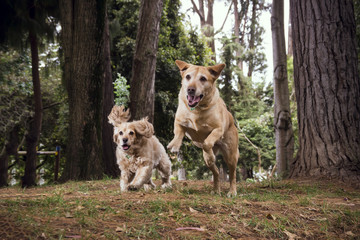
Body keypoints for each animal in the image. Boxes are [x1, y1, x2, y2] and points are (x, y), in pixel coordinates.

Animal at [168, 60, 240, 197]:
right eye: (188, 76)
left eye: (203, 79)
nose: (190, 89)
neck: (197, 109)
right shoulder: (179, 122)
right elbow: (178, 133)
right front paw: (174, 145)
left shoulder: (218, 129)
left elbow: (207, 142)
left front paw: (210, 152)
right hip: (207, 161)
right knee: (216, 171)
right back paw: (216, 189)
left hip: (231, 155)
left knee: (233, 174)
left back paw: (232, 191)